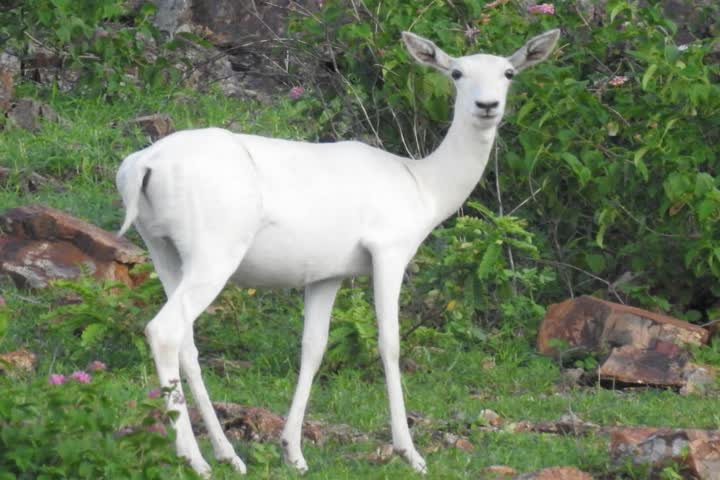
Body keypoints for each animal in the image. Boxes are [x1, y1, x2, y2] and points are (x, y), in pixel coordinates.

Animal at [115, 30, 560, 476]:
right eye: (456, 72)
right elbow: (389, 343)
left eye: (508, 72)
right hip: (215, 253)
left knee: (187, 342)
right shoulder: (389, 252)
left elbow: (313, 348)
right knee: (163, 330)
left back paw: (229, 455)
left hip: (164, 252)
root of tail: (143, 164)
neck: (424, 185)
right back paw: (194, 460)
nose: (487, 105)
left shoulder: (327, 275)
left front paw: (293, 452)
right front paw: (410, 453)